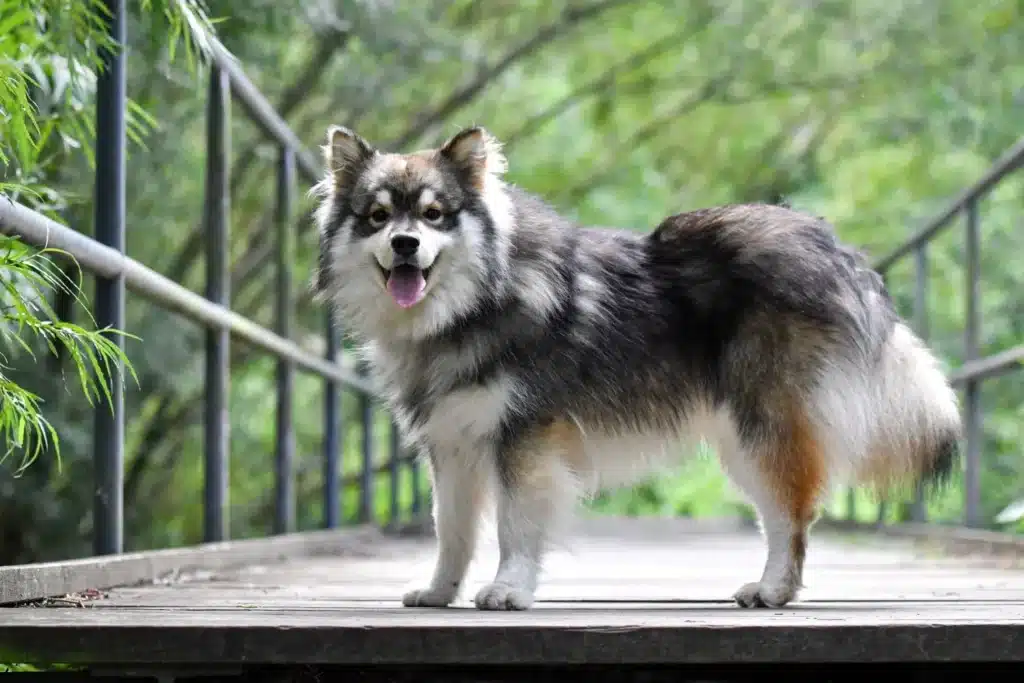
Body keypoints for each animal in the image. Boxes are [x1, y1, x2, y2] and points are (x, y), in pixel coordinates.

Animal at [307, 125, 962, 610]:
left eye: (435, 214)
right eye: (377, 216)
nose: (405, 245)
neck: (476, 303)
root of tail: (839, 252)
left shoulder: (524, 438)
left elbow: (516, 527)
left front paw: (509, 590)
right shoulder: (454, 444)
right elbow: (454, 532)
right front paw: (441, 592)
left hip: (764, 427)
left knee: (792, 515)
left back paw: (774, 590)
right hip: (740, 437)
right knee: (783, 514)